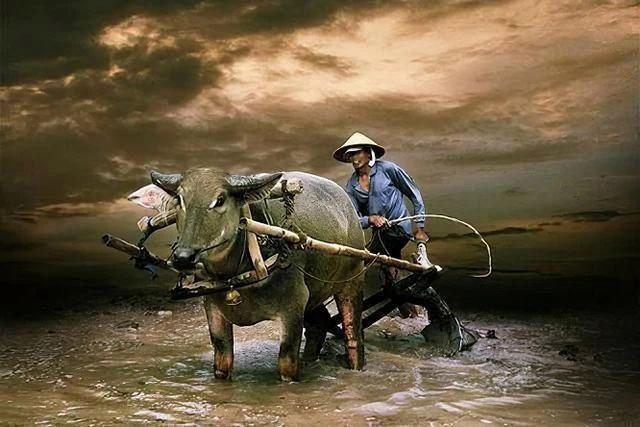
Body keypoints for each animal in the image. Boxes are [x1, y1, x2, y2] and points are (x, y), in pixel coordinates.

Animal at [151, 167, 368, 382]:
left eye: (220, 200)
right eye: (179, 199)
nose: (183, 257)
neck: (237, 276)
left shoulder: (293, 305)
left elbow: (287, 365)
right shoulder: (212, 307)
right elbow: (222, 362)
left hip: (353, 282)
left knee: (353, 334)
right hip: (314, 293)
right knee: (319, 324)